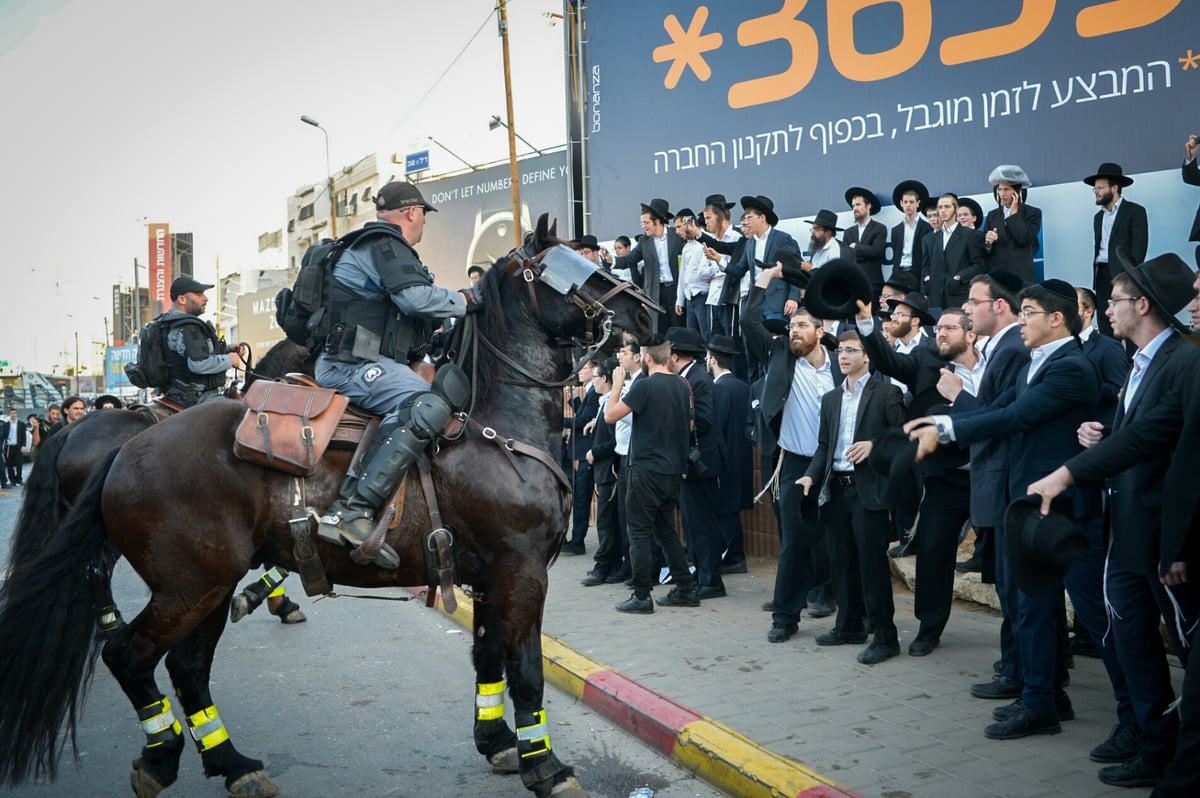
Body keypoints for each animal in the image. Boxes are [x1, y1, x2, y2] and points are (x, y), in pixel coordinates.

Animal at [0, 219, 657, 796]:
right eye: (576, 268)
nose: (650, 312)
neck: (497, 426)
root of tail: (128, 446)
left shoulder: (491, 576)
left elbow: (489, 656)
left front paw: (498, 744)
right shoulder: (519, 570)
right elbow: (525, 669)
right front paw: (544, 767)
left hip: (204, 584)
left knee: (185, 668)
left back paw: (233, 764)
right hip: (190, 585)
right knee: (129, 656)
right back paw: (163, 756)